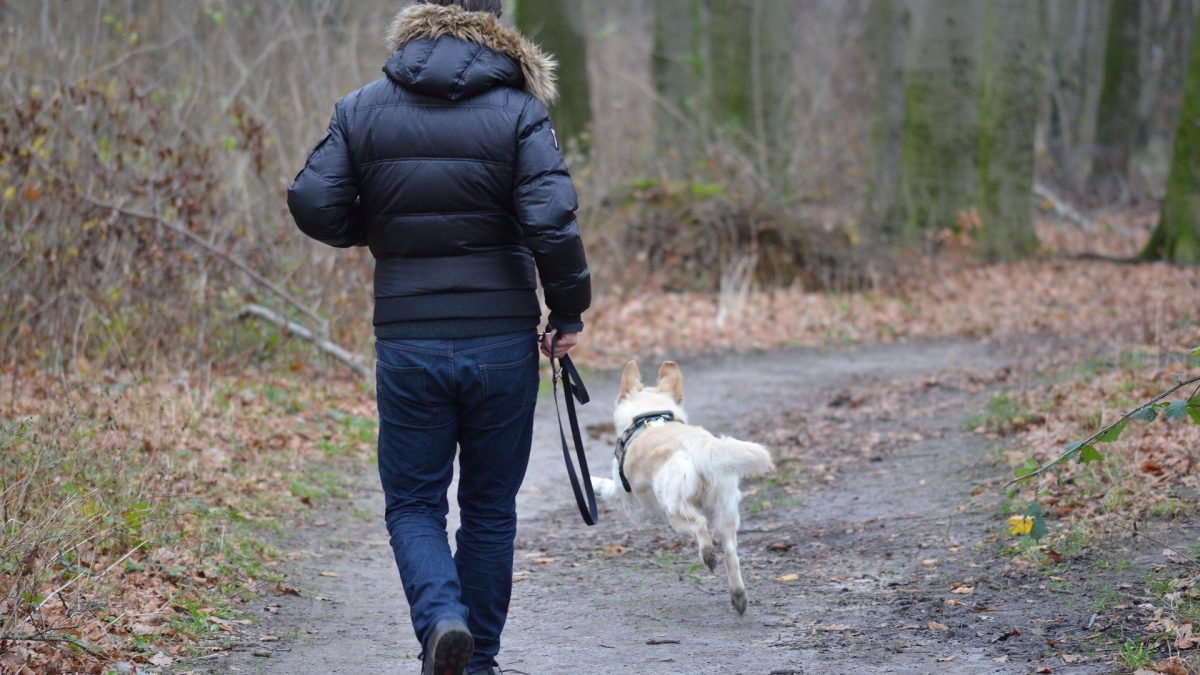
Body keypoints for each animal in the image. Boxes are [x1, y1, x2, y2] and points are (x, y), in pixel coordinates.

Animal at [592, 360, 777, 612]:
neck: (649, 416)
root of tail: (701, 445)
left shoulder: (629, 500)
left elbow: (606, 485)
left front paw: (591, 483)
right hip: (725, 510)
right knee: (730, 551)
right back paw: (738, 596)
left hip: (674, 510)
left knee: (700, 525)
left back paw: (708, 556)